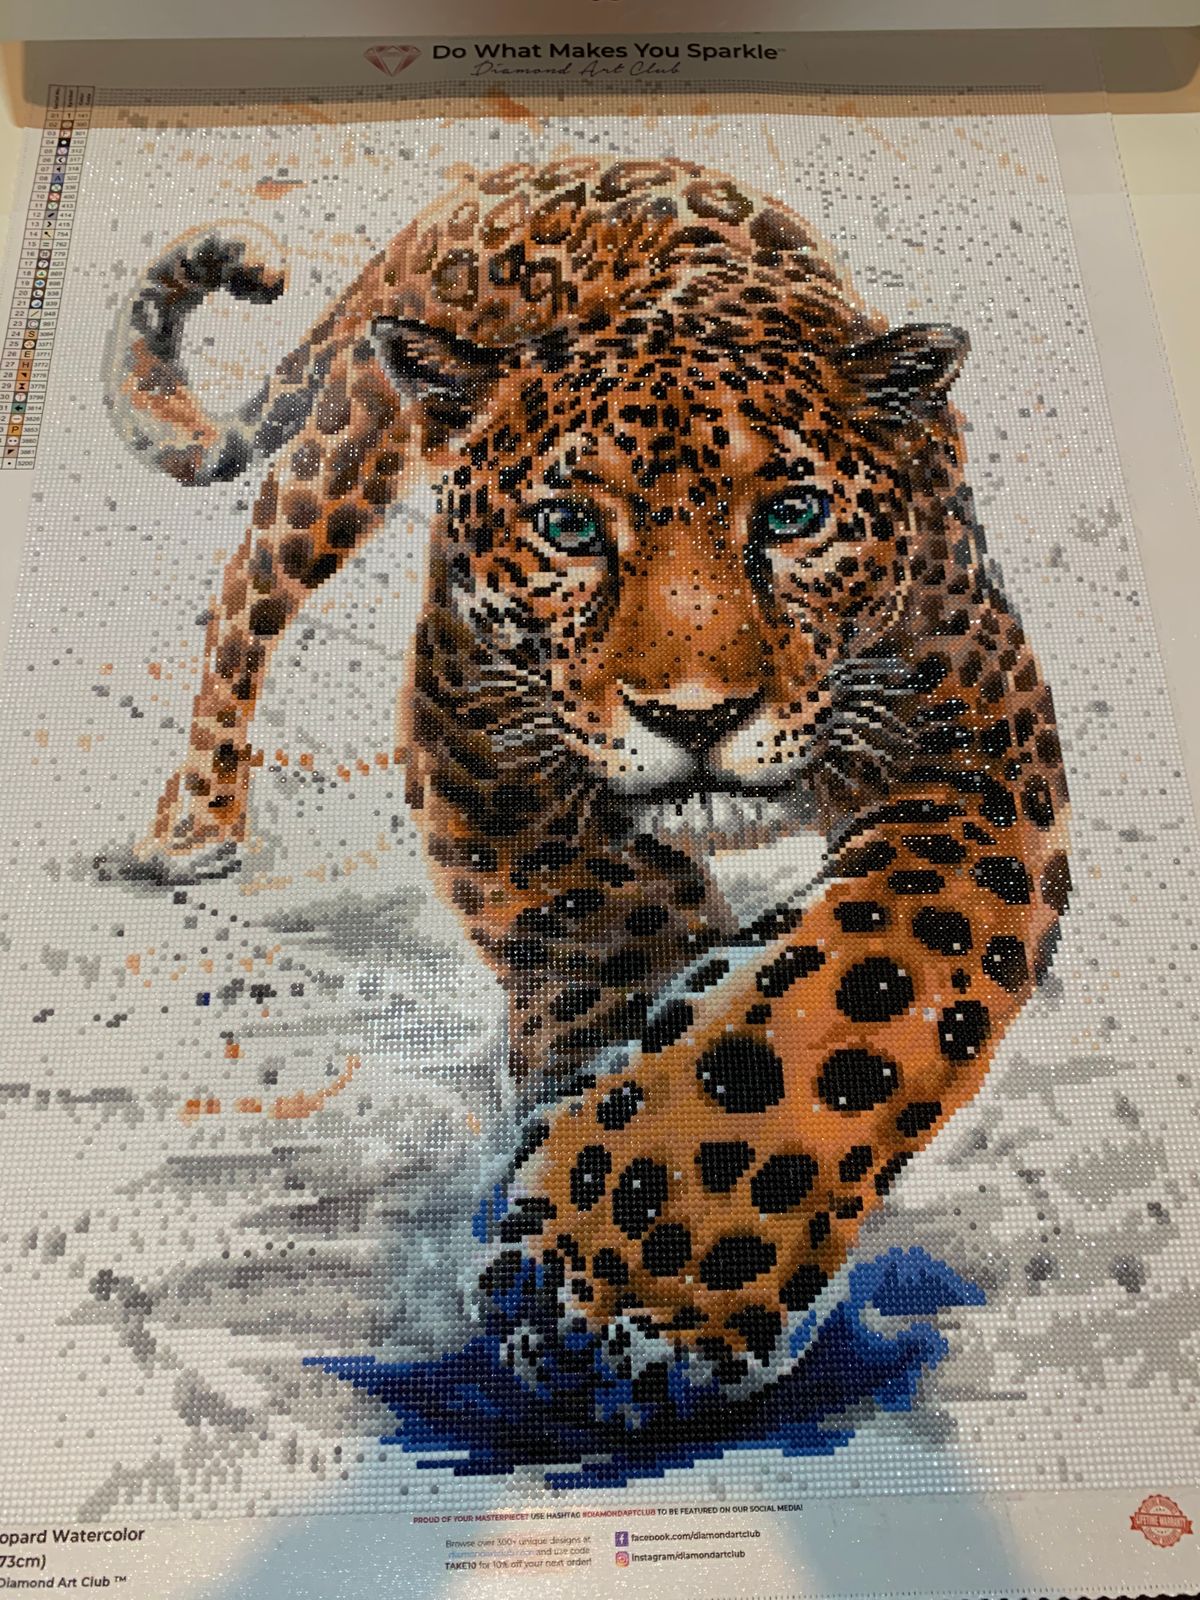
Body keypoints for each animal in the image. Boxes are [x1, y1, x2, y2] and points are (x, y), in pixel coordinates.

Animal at [105, 156, 1070, 1387]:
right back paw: (199, 820)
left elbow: (853, 991)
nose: (694, 714)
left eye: (794, 515)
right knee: (244, 590)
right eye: (568, 528)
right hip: (344, 451)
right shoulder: (482, 740)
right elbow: (612, 930)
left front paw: (642, 1273)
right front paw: (604, 1239)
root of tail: (516, 172)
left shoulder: (977, 759)